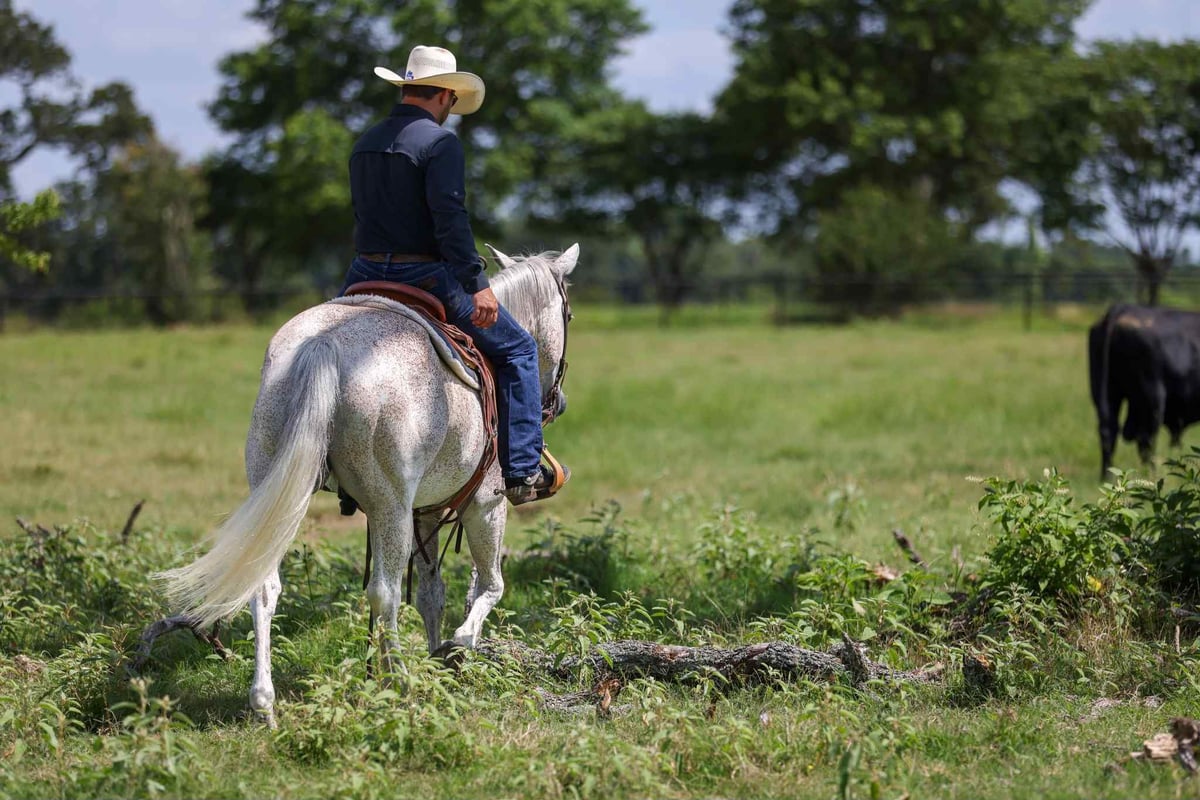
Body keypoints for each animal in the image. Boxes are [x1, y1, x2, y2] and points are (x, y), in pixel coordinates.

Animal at [157, 244, 577, 726]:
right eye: (568, 314)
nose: (558, 403)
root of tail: (325, 344)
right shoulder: (485, 504)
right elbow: (490, 586)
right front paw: (454, 650)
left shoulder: (425, 510)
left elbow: (432, 594)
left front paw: (436, 658)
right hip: (389, 506)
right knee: (384, 592)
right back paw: (396, 685)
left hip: (282, 492)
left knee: (263, 587)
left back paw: (264, 704)